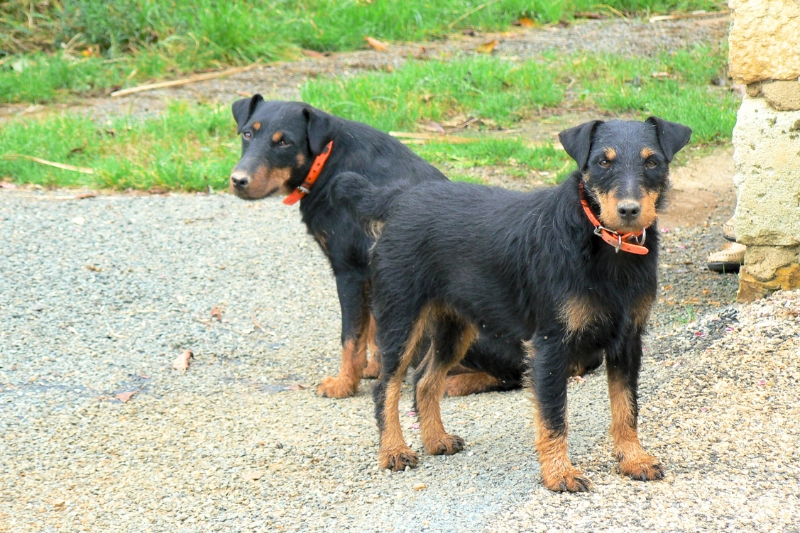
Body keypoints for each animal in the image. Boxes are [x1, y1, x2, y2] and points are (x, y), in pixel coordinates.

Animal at [228, 95, 528, 396]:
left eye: (284, 142)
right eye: (247, 134)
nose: (238, 180)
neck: (326, 162)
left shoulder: (349, 272)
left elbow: (351, 337)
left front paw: (344, 384)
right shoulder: (372, 273)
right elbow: (371, 329)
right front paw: (374, 368)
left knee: (510, 376)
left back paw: (452, 383)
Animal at [334, 116, 692, 490]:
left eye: (652, 161)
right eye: (602, 162)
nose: (629, 210)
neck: (606, 246)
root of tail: (399, 198)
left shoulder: (627, 342)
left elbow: (626, 406)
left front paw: (633, 458)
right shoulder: (550, 345)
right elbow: (554, 415)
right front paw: (559, 473)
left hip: (454, 328)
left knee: (424, 380)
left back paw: (436, 440)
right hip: (401, 320)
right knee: (386, 387)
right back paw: (393, 451)